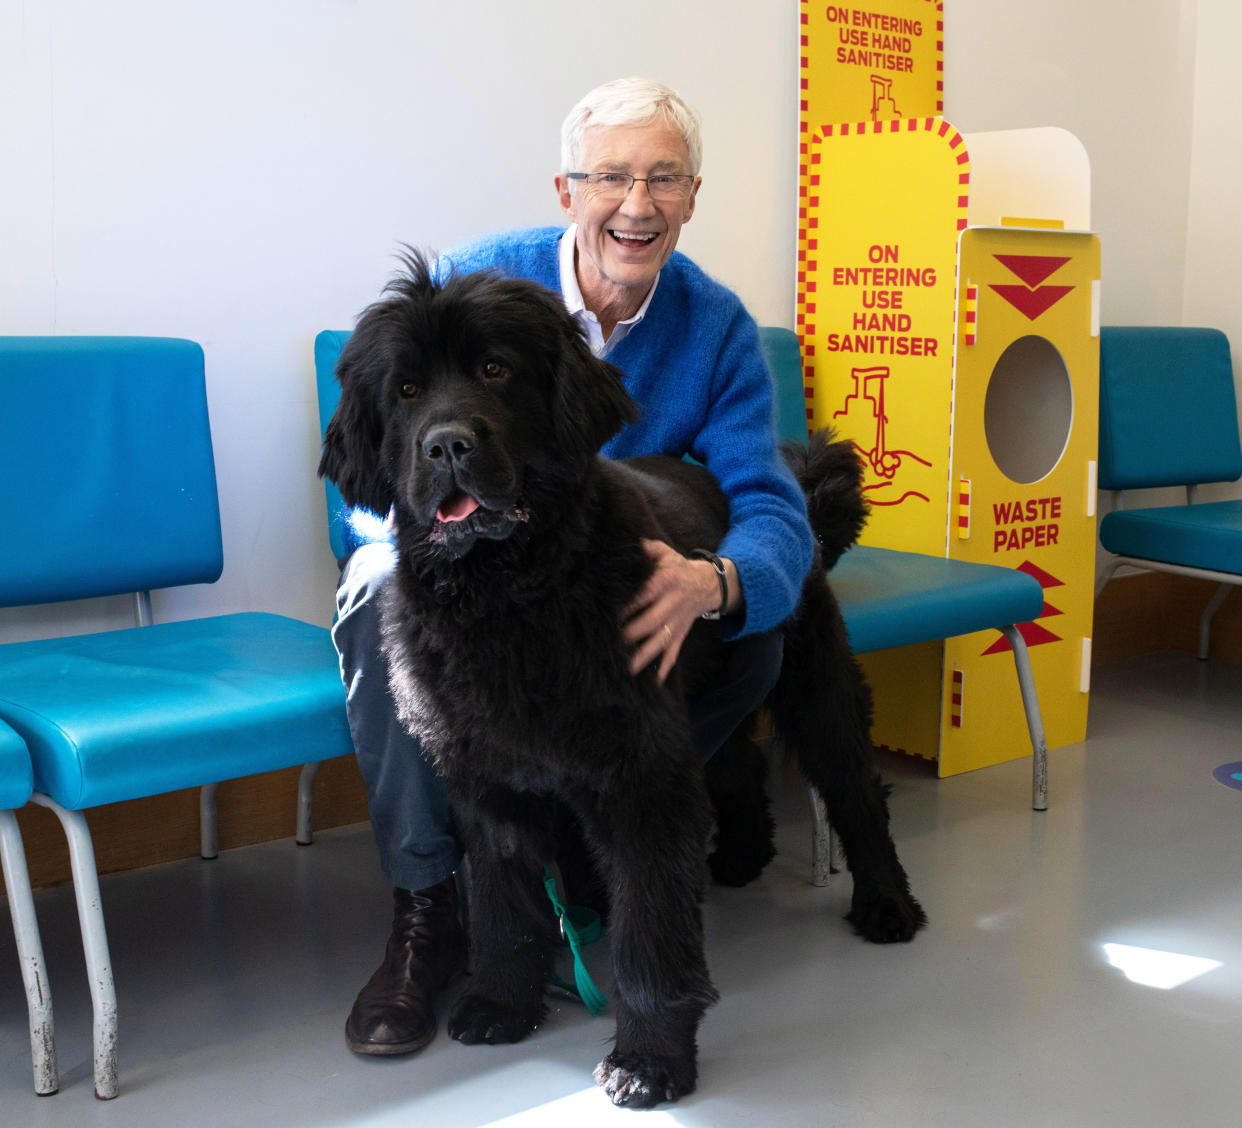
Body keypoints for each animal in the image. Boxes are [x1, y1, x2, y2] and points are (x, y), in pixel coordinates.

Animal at [320, 250, 924, 1108]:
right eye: (405, 390)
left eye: (495, 369)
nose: (447, 446)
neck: (512, 591)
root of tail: (795, 494)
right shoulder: (488, 781)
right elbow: (504, 906)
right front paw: (501, 1001)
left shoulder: (638, 777)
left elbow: (650, 937)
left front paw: (650, 1059)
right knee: (736, 764)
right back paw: (739, 856)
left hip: (814, 687)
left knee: (857, 791)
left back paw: (886, 903)